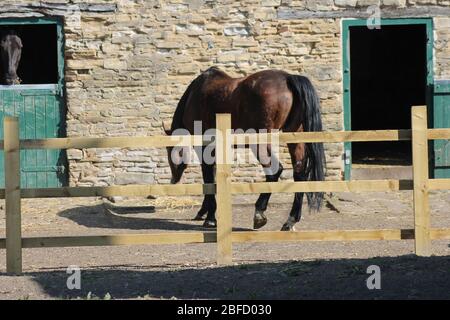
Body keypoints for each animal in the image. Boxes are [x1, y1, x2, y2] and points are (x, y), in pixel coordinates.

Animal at [163, 67, 326, 231]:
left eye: (169, 149)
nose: (173, 180)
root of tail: (288, 78)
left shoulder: (203, 148)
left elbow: (208, 178)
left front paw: (210, 218)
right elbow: (213, 179)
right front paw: (204, 211)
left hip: (260, 144)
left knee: (275, 171)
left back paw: (259, 213)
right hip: (294, 137)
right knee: (299, 174)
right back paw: (290, 220)